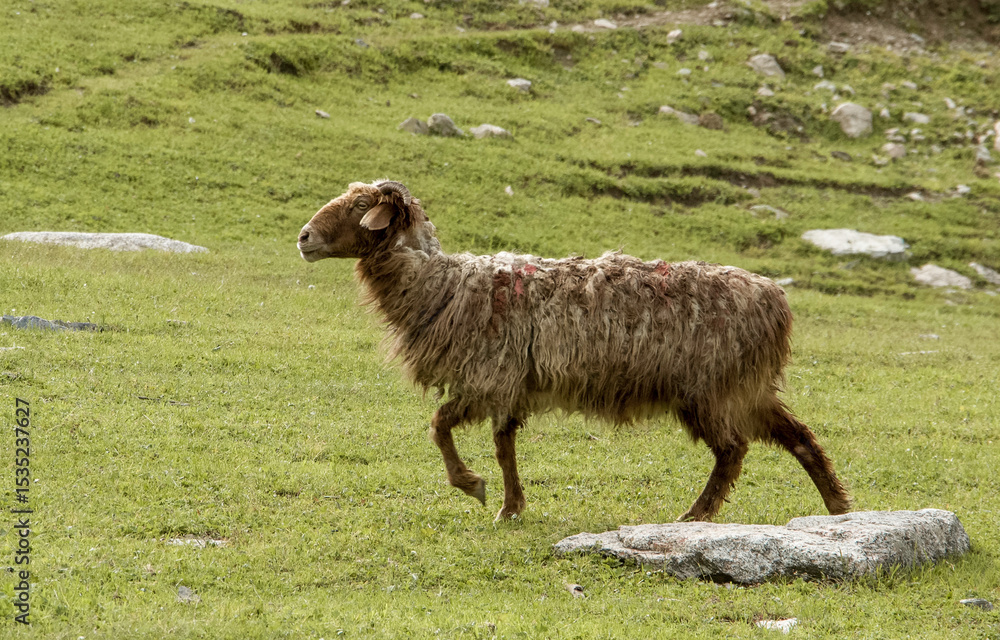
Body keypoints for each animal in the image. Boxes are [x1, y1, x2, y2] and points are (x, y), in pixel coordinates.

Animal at [297, 180, 851, 522]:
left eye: (357, 208)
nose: (303, 237)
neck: (444, 285)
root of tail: (775, 298)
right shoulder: (508, 385)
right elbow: (503, 445)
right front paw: (511, 506)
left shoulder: (488, 375)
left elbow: (440, 427)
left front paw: (473, 486)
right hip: (745, 387)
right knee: (799, 438)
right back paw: (839, 508)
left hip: (712, 388)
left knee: (733, 450)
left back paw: (697, 515)